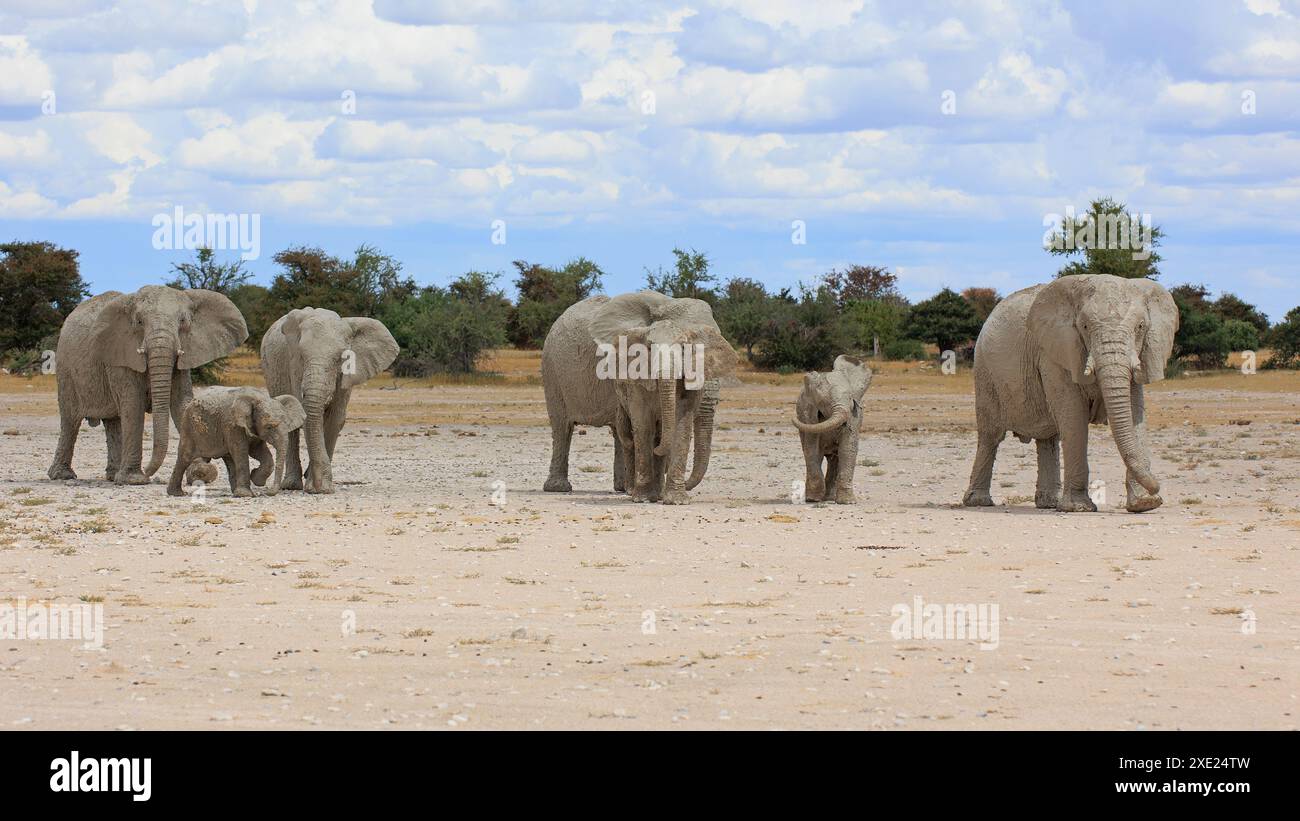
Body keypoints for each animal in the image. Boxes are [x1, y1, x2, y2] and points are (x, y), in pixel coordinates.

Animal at [46, 285, 245, 483]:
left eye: (182, 321)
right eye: (140, 322)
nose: (149, 472)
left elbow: (181, 403)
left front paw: (201, 474)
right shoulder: (119, 354)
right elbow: (133, 404)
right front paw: (134, 479)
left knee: (113, 422)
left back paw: (113, 475)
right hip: (65, 368)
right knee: (71, 420)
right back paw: (63, 475)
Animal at [166, 387, 305, 496]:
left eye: (287, 425)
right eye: (269, 427)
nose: (268, 491)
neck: (258, 398)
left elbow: (259, 452)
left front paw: (256, 479)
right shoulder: (232, 425)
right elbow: (242, 451)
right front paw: (247, 493)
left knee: (229, 459)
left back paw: (235, 492)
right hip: (188, 426)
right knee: (185, 457)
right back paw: (177, 494)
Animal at [256, 305, 392, 491]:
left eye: (342, 358)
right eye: (301, 356)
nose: (318, 484)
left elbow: (336, 418)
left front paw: (321, 486)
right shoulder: (293, 366)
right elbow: (310, 418)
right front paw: (318, 487)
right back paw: (291, 485)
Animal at [790, 353, 873, 504]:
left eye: (851, 399)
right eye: (825, 402)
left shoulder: (854, 415)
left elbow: (847, 449)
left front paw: (848, 502)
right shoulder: (808, 414)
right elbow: (812, 448)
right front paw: (813, 499)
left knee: (834, 458)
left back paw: (830, 497)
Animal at [967, 274, 1180, 514]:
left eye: (1141, 327)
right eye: (1085, 326)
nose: (1158, 487)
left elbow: (1134, 412)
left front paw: (1144, 504)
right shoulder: (1055, 353)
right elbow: (1073, 415)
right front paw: (1079, 508)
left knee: (1048, 439)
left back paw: (1049, 504)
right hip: (984, 371)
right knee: (991, 436)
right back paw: (978, 502)